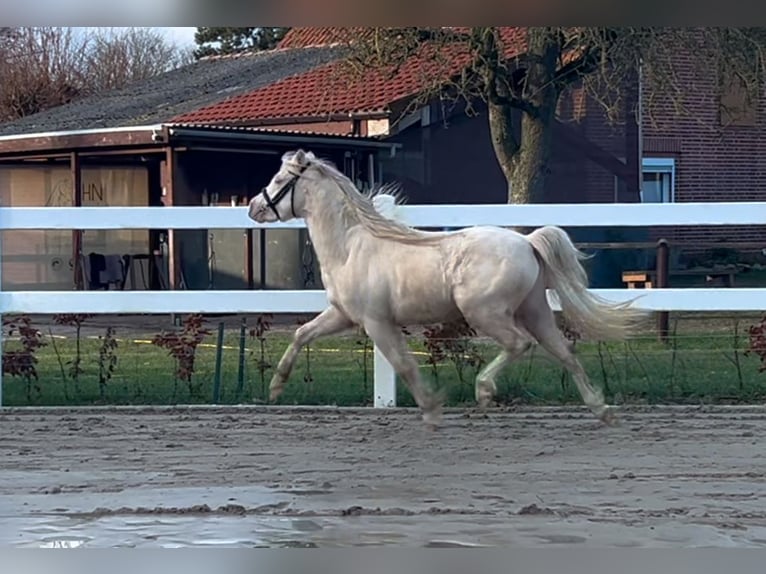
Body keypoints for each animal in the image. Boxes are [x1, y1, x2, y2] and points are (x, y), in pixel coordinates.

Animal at [249, 151, 652, 430]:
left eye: (280, 179)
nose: (254, 207)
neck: (351, 246)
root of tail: (527, 243)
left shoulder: (376, 322)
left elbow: (404, 365)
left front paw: (431, 410)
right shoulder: (343, 315)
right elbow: (302, 334)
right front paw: (275, 388)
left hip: (486, 313)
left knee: (520, 344)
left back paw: (484, 391)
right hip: (535, 311)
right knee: (564, 352)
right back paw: (602, 411)